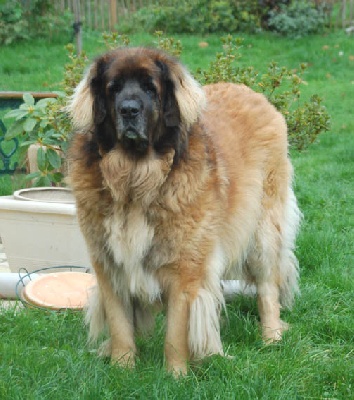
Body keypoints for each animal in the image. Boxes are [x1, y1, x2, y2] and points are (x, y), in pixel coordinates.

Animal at [68, 47, 300, 376]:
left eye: (150, 88)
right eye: (113, 88)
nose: (128, 110)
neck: (136, 177)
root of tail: (253, 94)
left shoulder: (184, 268)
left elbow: (176, 331)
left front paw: (175, 375)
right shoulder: (109, 264)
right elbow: (120, 324)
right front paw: (122, 369)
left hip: (264, 231)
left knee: (268, 286)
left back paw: (272, 337)